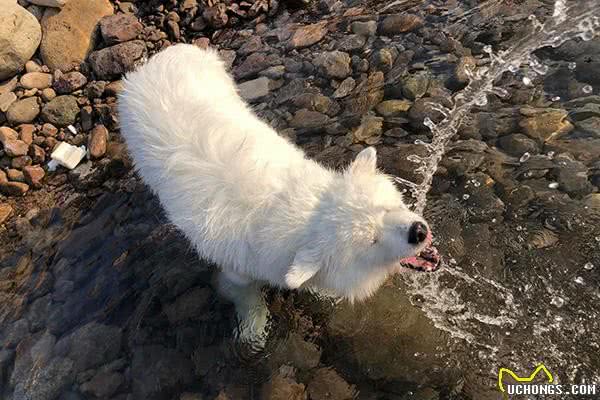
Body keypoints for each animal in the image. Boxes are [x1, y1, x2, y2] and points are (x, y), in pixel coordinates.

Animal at [119, 44, 440, 340]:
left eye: (385, 207)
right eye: (372, 241)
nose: (418, 231)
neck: (303, 214)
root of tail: (155, 60)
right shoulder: (238, 269)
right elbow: (246, 296)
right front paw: (253, 331)